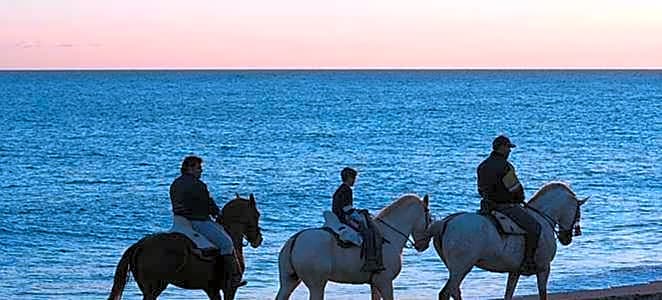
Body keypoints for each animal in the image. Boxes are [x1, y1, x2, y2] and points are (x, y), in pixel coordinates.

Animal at [109, 193, 264, 300]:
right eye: (257, 214)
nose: (259, 239)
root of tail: (139, 245)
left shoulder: (212, 289)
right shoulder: (230, 289)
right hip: (153, 288)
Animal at [276, 193, 436, 298]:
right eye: (430, 218)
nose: (423, 245)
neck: (389, 234)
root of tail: (295, 240)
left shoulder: (375, 283)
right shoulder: (385, 282)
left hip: (288, 282)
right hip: (317, 285)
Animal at [430, 182, 592, 298]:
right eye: (578, 212)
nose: (567, 238)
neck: (542, 217)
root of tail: (446, 222)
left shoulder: (514, 271)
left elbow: (509, 294)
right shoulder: (544, 268)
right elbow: (542, 293)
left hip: (455, 269)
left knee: (452, 292)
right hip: (461, 268)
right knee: (448, 292)